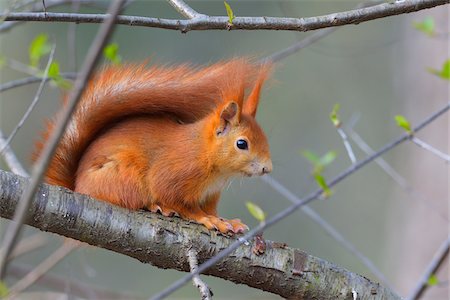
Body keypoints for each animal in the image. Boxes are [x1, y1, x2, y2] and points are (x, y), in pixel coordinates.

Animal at [34, 57, 270, 233]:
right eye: (242, 143)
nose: (267, 168)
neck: (205, 153)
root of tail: (77, 186)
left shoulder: (210, 195)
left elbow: (210, 209)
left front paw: (225, 220)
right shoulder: (174, 173)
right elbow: (176, 199)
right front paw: (206, 219)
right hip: (125, 175)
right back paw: (156, 206)